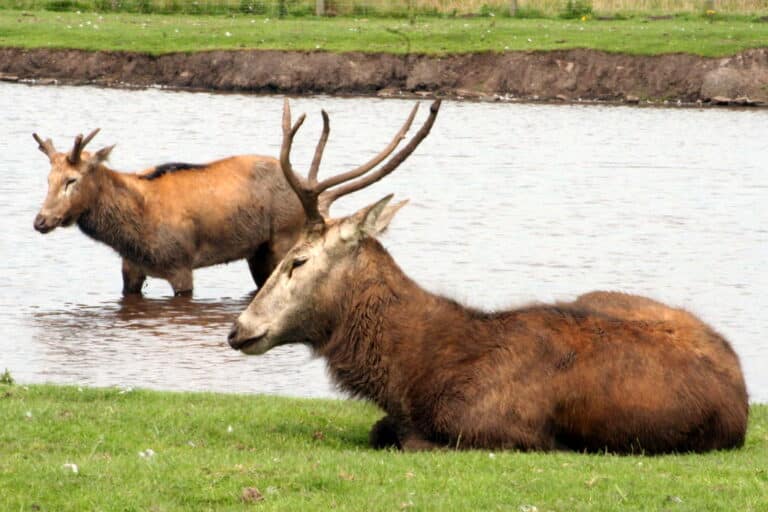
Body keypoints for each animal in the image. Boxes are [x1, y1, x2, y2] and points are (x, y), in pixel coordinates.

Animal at [31, 103, 427, 296]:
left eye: (71, 180)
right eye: (47, 179)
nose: (41, 220)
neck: (130, 232)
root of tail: (319, 197)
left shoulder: (180, 264)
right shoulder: (131, 267)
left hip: (283, 242)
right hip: (258, 253)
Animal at [227, 99, 749, 454]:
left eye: (297, 260)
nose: (238, 329)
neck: (414, 374)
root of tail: (742, 382)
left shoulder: (508, 433)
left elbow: (402, 437)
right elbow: (383, 429)